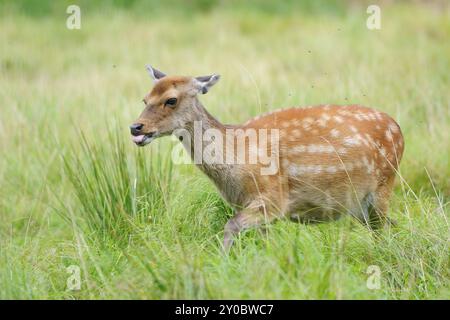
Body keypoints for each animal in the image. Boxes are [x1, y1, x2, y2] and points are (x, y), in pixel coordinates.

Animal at [129, 65, 404, 250]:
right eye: (144, 98)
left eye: (171, 100)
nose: (136, 127)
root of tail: (399, 129)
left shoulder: (274, 197)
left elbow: (231, 225)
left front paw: (221, 260)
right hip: (360, 205)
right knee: (391, 225)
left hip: (383, 185)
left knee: (385, 227)